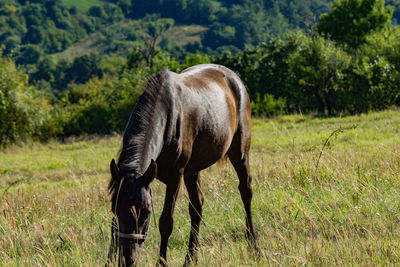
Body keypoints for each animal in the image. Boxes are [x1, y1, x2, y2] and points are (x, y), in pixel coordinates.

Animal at [108, 63, 258, 266]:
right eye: (115, 208)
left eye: (146, 212)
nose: (128, 259)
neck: (167, 117)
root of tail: (233, 77)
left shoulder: (175, 177)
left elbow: (166, 222)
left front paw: (161, 262)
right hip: (192, 171)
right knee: (197, 207)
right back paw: (191, 258)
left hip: (239, 153)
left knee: (245, 190)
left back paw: (254, 246)